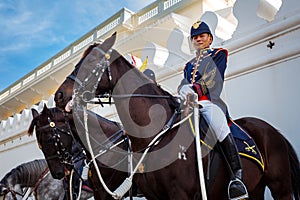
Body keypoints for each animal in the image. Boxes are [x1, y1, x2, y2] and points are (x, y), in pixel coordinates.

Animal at [54, 33, 300, 200]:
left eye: (91, 62)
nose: (59, 95)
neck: (155, 134)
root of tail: (272, 130)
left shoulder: (180, 194)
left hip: (281, 187)